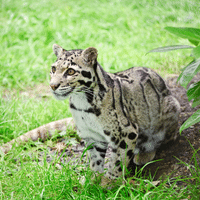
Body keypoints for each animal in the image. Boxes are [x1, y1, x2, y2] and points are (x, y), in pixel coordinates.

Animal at [49, 44, 180, 180]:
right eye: (53, 69)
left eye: (70, 71)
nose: (52, 85)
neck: (81, 103)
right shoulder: (91, 135)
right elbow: (95, 159)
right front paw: (94, 178)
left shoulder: (127, 133)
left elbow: (118, 161)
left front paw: (110, 181)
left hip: (169, 110)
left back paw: (144, 154)